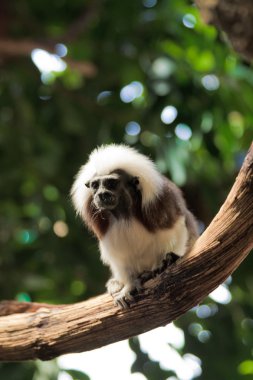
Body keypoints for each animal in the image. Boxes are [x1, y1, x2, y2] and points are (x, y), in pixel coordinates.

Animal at [70, 144, 199, 308]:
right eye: (95, 185)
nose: (101, 194)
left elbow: (176, 230)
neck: (124, 213)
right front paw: (129, 285)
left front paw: (166, 262)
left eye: (111, 183)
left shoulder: (162, 204)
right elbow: (121, 257)